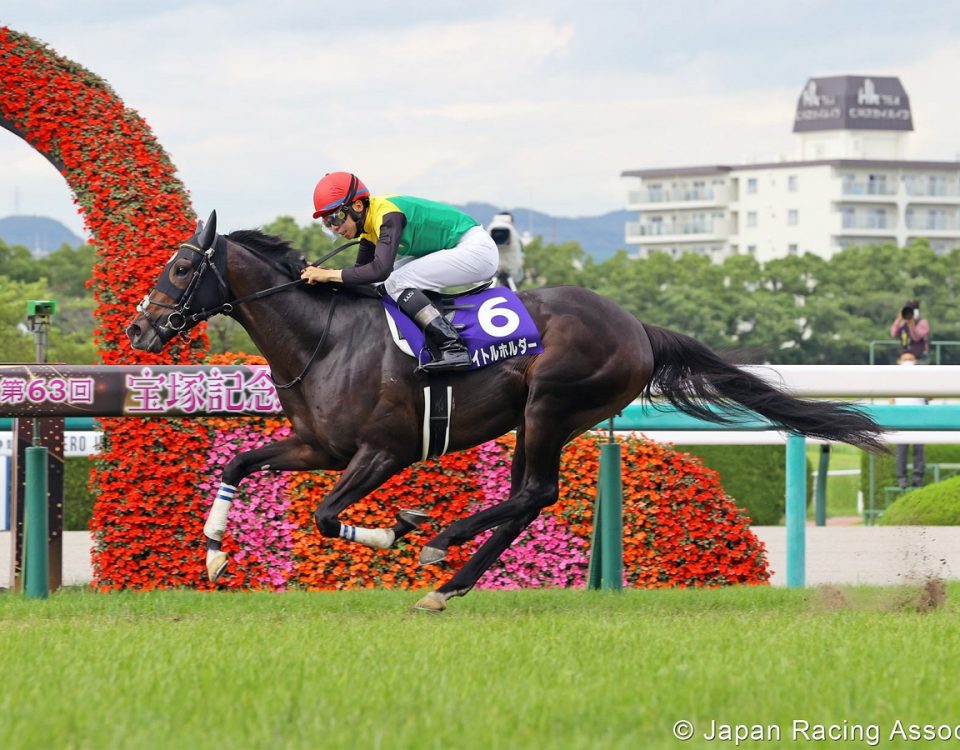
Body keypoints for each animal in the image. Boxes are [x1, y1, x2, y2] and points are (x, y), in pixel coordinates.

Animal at [127, 212, 884, 612]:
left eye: (181, 267)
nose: (139, 329)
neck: (326, 339)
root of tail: (638, 327)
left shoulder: (382, 451)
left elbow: (324, 516)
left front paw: (401, 528)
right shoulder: (320, 446)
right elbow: (239, 463)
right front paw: (215, 553)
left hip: (552, 402)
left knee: (535, 491)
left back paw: (442, 543)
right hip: (534, 419)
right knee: (528, 497)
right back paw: (448, 584)